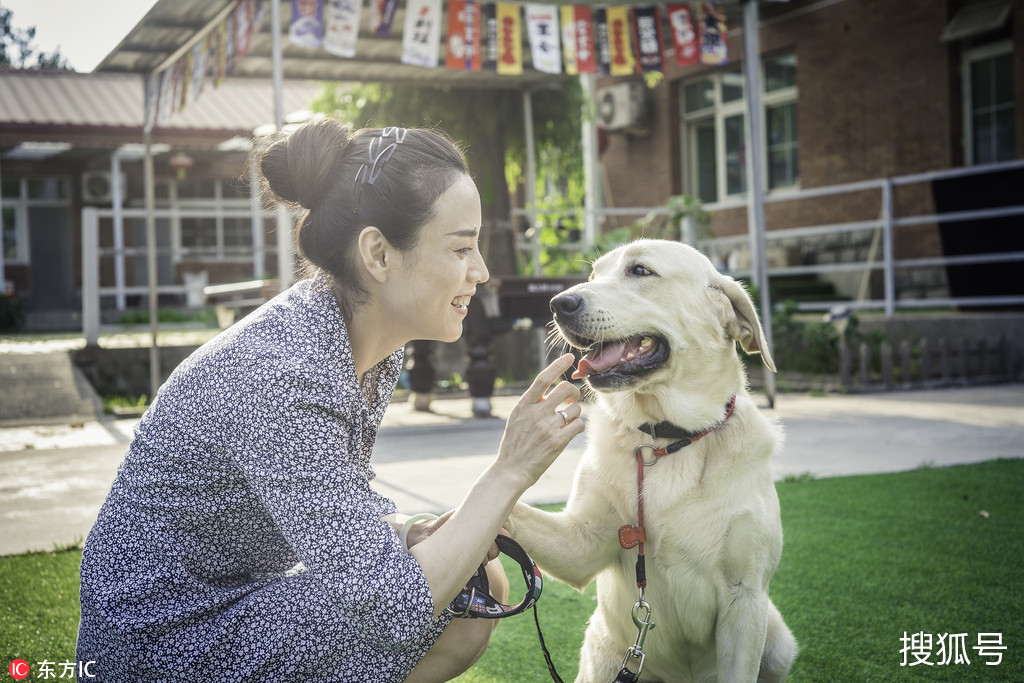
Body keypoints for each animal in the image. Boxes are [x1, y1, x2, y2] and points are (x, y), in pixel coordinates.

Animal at [507, 239, 794, 679]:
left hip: (778, 642)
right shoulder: (580, 544)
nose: (558, 304)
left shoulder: (746, 595)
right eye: (593, 275)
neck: (669, 436)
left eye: (640, 271)